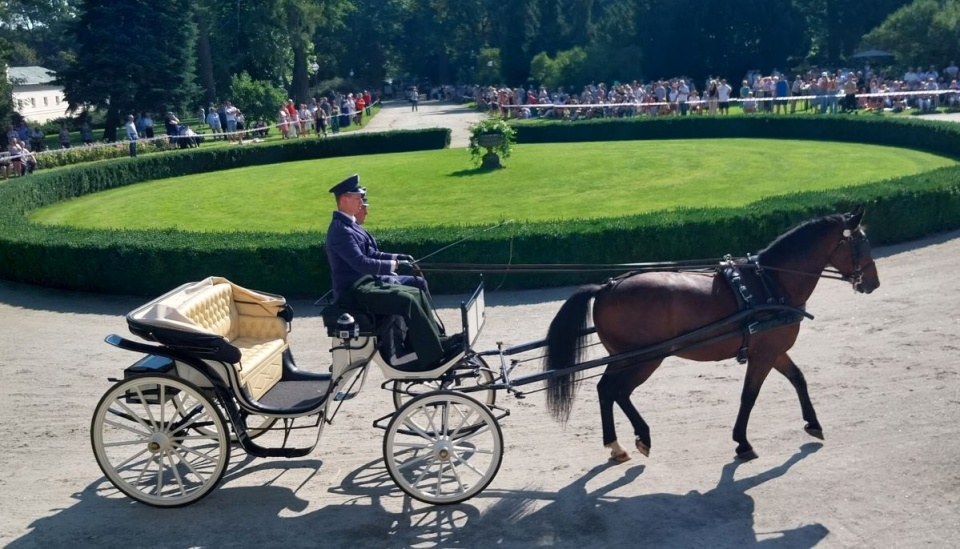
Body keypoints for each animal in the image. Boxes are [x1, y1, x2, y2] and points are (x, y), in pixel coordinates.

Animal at [544, 206, 880, 462]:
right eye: (862, 244)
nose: (873, 283)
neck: (770, 282)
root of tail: (607, 287)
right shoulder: (763, 354)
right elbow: (749, 395)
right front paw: (742, 441)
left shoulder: (773, 350)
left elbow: (798, 378)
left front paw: (812, 422)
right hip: (645, 358)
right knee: (618, 391)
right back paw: (641, 436)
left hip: (624, 358)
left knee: (606, 390)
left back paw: (617, 445)